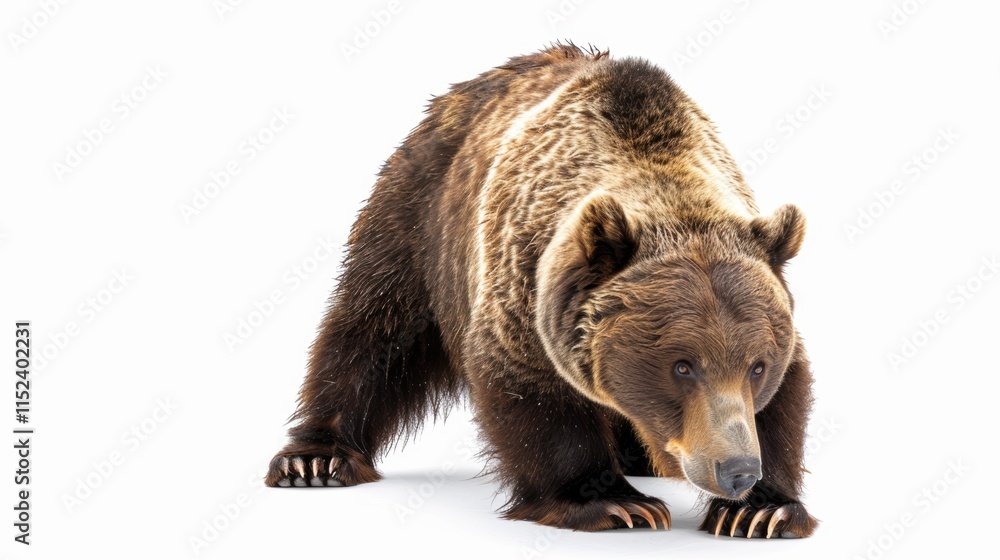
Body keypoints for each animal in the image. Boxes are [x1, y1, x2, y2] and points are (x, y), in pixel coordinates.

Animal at [265, 43, 817, 538]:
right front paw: (614, 503)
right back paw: (315, 459)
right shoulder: (527, 291)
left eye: (757, 366)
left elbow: (783, 401)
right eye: (681, 365)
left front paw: (760, 511)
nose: (737, 470)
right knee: (374, 326)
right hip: (419, 212)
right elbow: (535, 397)